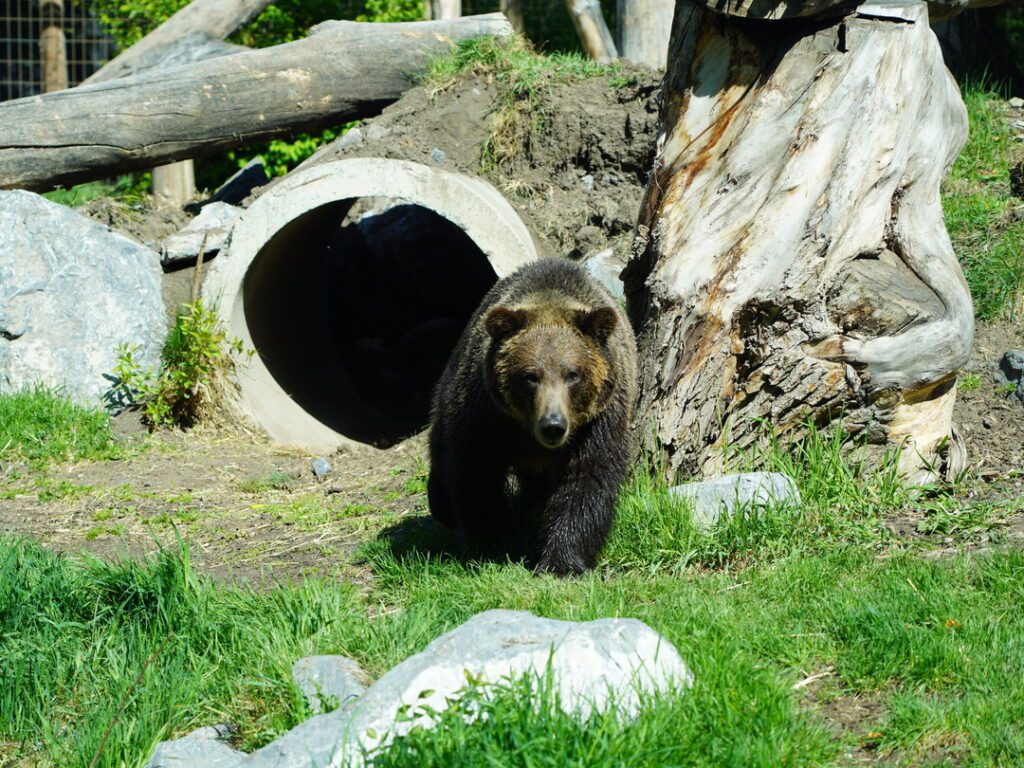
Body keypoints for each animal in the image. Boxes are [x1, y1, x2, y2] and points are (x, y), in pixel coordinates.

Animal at [427, 258, 638, 574]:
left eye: (572, 374)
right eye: (530, 376)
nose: (553, 425)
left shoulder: (597, 424)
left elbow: (586, 481)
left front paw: (563, 561)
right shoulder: (486, 417)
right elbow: (475, 475)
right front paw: (490, 542)